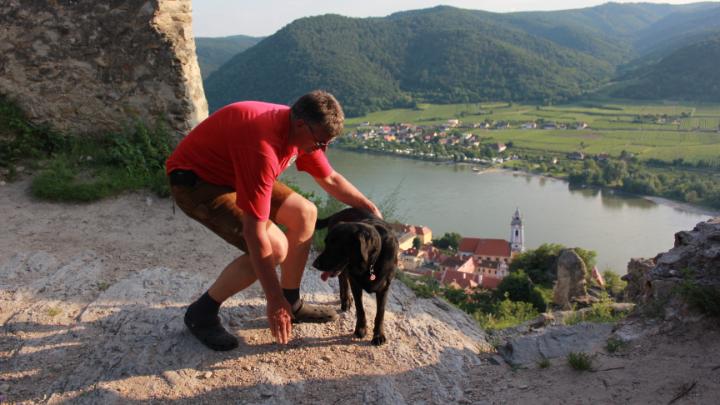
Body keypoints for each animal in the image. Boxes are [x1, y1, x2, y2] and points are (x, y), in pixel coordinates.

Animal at [312, 208, 400, 344]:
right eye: (326, 243)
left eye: (336, 245)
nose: (315, 264)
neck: (371, 262)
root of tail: (339, 212)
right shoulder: (355, 283)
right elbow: (360, 309)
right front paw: (361, 329)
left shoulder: (384, 287)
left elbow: (380, 313)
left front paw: (378, 335)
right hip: (344, 271)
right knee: (343, 281)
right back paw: (346, 300)